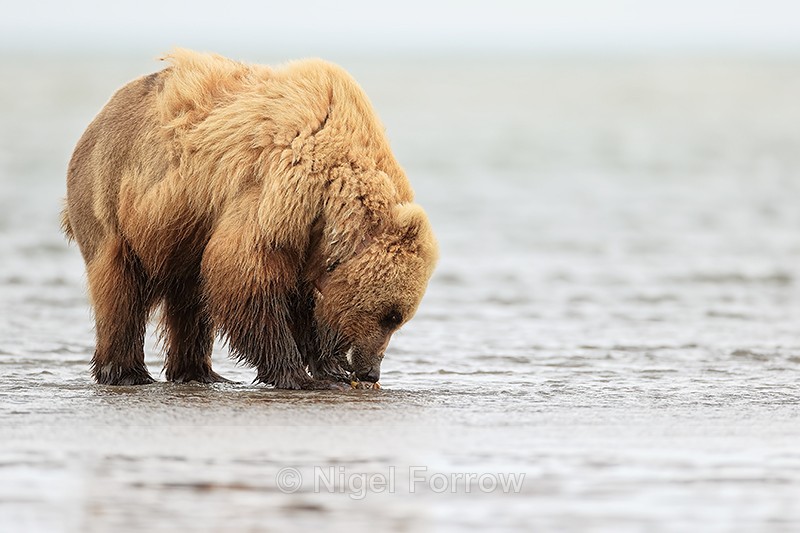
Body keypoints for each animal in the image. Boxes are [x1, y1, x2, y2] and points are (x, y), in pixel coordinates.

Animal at [61, 49, 438, 389]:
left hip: (185, 232)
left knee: (191, 297)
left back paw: (201, 372)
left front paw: (330, 370)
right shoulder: (273, 193)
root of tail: (98, 118)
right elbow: (244, 274)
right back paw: (126, 372)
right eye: (391, 316)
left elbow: (303, 300)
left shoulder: (305, 235)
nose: (370, 371)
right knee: (120, 287)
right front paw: (298, 375)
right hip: (114, 195)